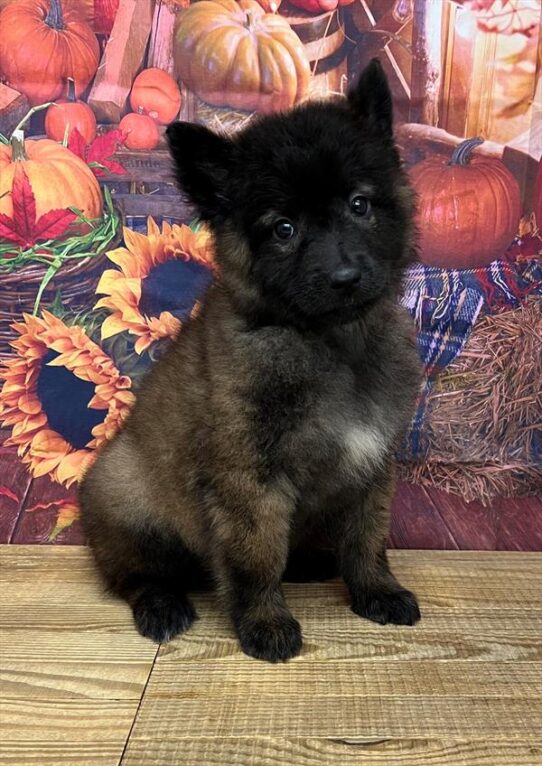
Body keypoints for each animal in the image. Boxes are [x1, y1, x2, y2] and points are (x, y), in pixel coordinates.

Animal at [78, 60, 422, 664]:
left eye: (359, 204)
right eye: (283, 229)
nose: (345, 278)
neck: (330, 343)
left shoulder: (372, 468)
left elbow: (367, 540)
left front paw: (376, 591)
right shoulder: (249, 479)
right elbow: (257, 557)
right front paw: (265, 621)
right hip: (127, 499)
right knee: (136, 575)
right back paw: (161, 606)